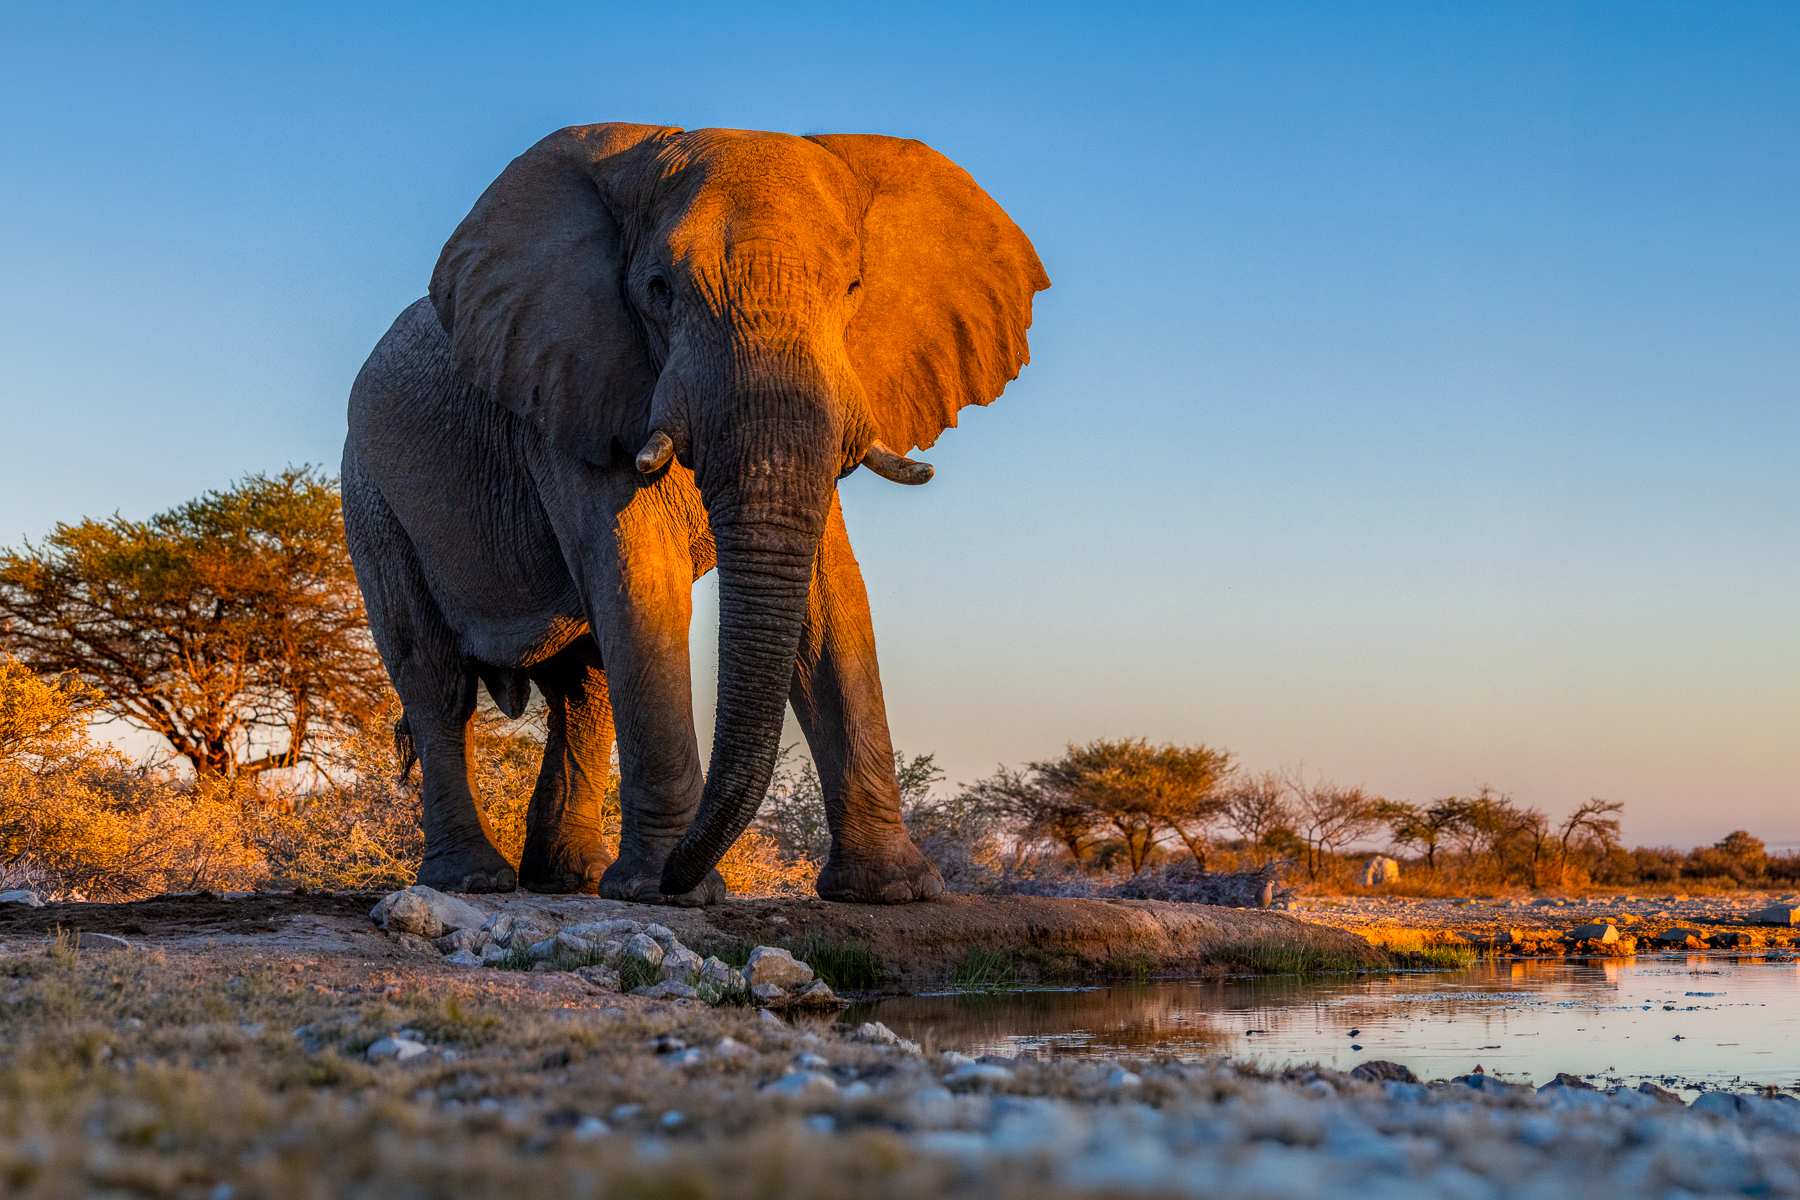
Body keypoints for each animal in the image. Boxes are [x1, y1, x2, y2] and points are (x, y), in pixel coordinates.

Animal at [341, 123, 1048, 904]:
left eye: (853, 289)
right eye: (658, 291)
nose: (691, 874)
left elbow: (830, 599)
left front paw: (896, 891)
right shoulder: (569, 392)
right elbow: (642, 583)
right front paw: (663, 890)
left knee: (584, 689)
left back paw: (572, 880)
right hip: (371, 498)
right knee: (436, 679)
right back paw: (476, 879)